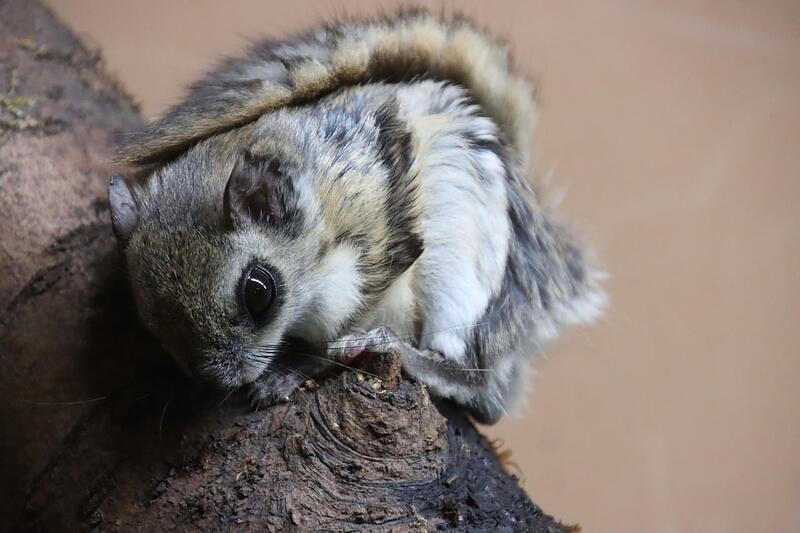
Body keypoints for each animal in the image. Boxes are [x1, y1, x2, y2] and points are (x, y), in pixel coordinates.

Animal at [108, 10, 606, 424]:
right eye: (151, 317)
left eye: (258, 292)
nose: (225, 380)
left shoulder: (379, 253)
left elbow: (340, 334)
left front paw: (295, 370)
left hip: (466, 274)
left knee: (483, 389)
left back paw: (400, 351)